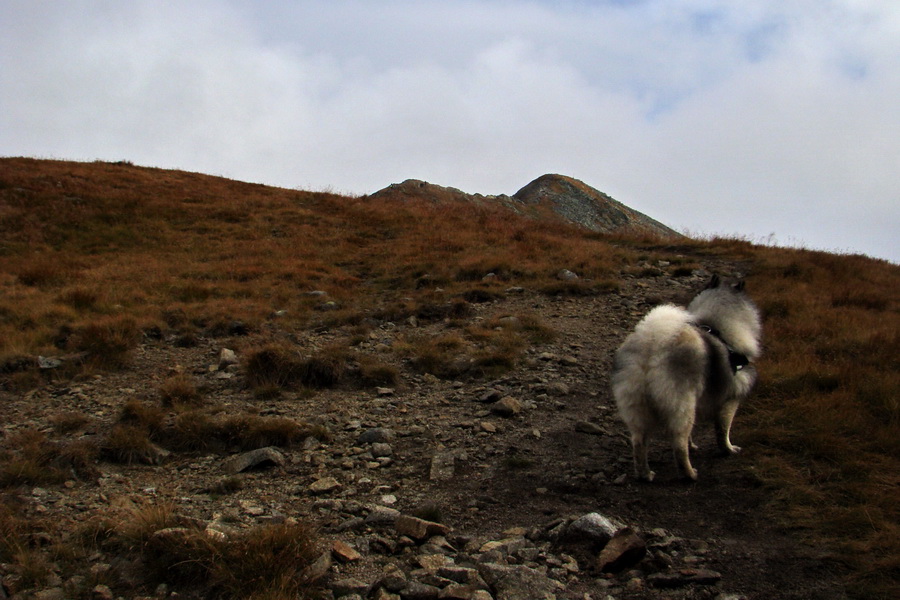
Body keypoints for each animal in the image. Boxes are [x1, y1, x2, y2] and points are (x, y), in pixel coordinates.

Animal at [612, 274, 760, 480]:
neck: (718, 328)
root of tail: (651, 345)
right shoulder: (730, 401)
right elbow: (723, 431)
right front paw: (729, 450)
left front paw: (695, 445)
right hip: (682, 406)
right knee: (679, 445)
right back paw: (689, 474)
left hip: (639, 410)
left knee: (639, 443)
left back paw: (646, 474)